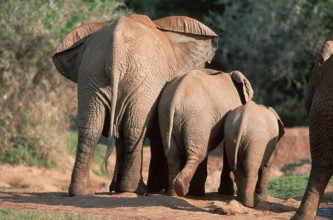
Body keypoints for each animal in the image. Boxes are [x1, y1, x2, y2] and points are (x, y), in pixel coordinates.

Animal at [52, 13, 218, 196]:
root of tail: (116, 50)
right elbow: (156, 138)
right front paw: (154, 188)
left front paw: (116, 188)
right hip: (143, 78)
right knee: (134, 128)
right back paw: (137, 189)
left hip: (92, 74)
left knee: (91, 128)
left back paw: (83, 191)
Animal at [157, 68, 253, 196]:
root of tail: (177, 96)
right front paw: (227, 193)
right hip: (197, 116)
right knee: (198, 153)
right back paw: (182, 189)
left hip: (166, 116)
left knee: (173, 154)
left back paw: (174, 194)